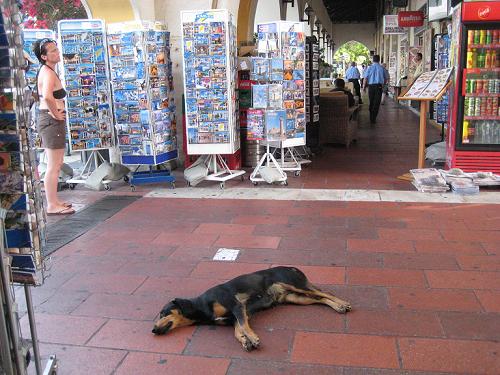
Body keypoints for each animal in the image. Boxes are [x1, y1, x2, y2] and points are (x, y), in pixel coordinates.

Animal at [152, 266, 352, 352]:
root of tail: (292, 267)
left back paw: (343, 303)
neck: (202, 305)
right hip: (296, 298)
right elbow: (238, 330)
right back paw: (337, 307)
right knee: (320, 299)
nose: (153, 330)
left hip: (296, 285)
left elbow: (244, 326)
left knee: (324, 292)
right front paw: (244, 341)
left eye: (163, 313)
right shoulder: (235, 317)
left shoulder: (237, 307)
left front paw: (253, 338)